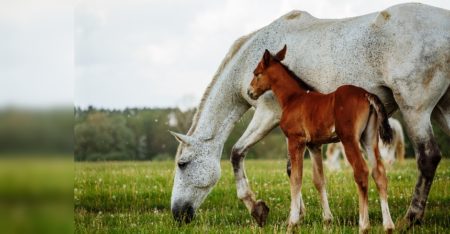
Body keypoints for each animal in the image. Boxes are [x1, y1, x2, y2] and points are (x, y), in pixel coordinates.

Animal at [248, 45, 396, 232]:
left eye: (257, 73)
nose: (250, 92)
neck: (293, 99)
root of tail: (366, 94)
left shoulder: (296, 141)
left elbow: (296, 178)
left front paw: (292, 223)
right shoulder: (314, 145)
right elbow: (319, 180)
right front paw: (327, 220)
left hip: (349, 139)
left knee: (361, 172)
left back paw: (364, 226)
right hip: (369, 139)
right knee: (379, 173)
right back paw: (388, 225)